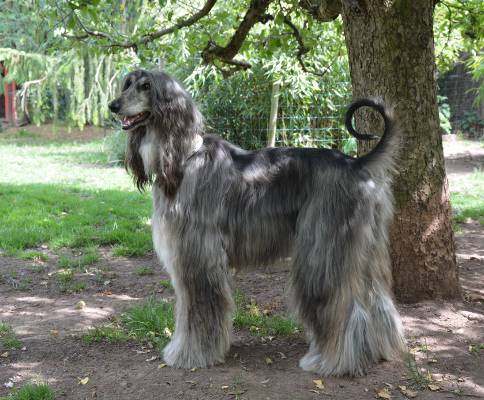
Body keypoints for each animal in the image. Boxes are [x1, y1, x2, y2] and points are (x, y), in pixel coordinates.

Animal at [108, 69, 405, 377]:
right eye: (127, 84)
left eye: (146, 86)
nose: (112, 106)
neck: (183, 159)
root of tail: (357, 164)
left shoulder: (197, 255)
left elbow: (198, 309)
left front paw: (188, 355)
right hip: (368, 245)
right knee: (378, 299)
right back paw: (381, 349)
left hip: (324, 244)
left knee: (341, 305)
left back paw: (331, 361)